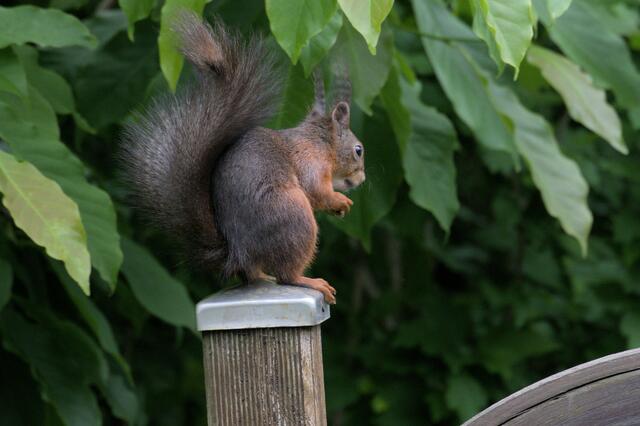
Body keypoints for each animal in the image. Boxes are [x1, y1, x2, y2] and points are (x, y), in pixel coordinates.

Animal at [121, 13, 365, 304]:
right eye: (359, 150)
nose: (362, 179)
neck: (320, 142)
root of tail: (238, 253)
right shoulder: (310, 161)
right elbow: (316, 190)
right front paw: (341, 201)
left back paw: (263, 276)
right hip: (294, 216)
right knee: (287, 274)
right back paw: (308, 280)